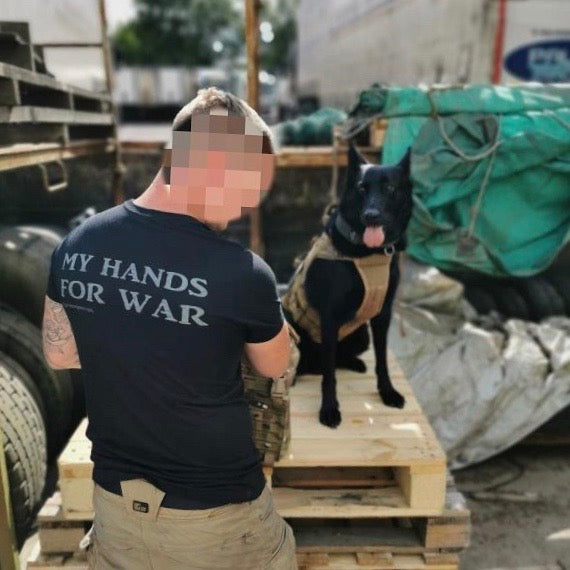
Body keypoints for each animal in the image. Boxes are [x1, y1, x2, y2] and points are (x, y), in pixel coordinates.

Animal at [281, 141, 413, 428]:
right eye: (362, 188)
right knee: (319, 365)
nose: (371, 215)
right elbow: (329, 376)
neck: (368, 252)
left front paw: (387, 392)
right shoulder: (330, 317)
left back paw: (354, 363)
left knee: (335, 359)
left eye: (390, 188)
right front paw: (329, 409)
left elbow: (382, 360)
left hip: (361, 335)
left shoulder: (383, 315)